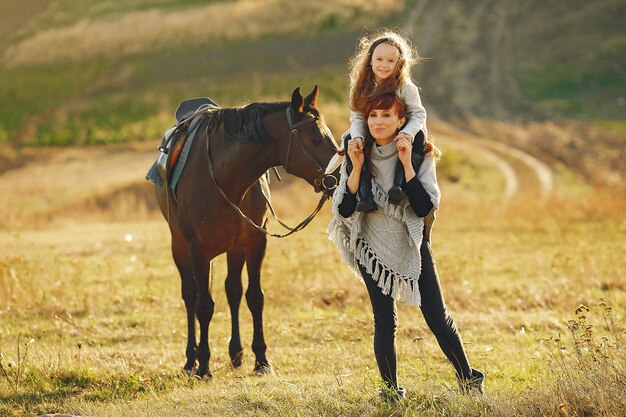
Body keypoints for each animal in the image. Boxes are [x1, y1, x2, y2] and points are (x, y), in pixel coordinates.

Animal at [156, 86, 342, 378]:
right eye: (315, 138)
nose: (344, 174)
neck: (227, 178)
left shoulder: (256, 241)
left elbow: (254, 297)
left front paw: (262, 360)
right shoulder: (198, 250)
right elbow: (204, 305)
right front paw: (204, 365)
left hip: (234, 249)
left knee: (232, 290)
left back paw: (236, 354)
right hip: (179, 245)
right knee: (190, 295)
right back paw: (190, 359)